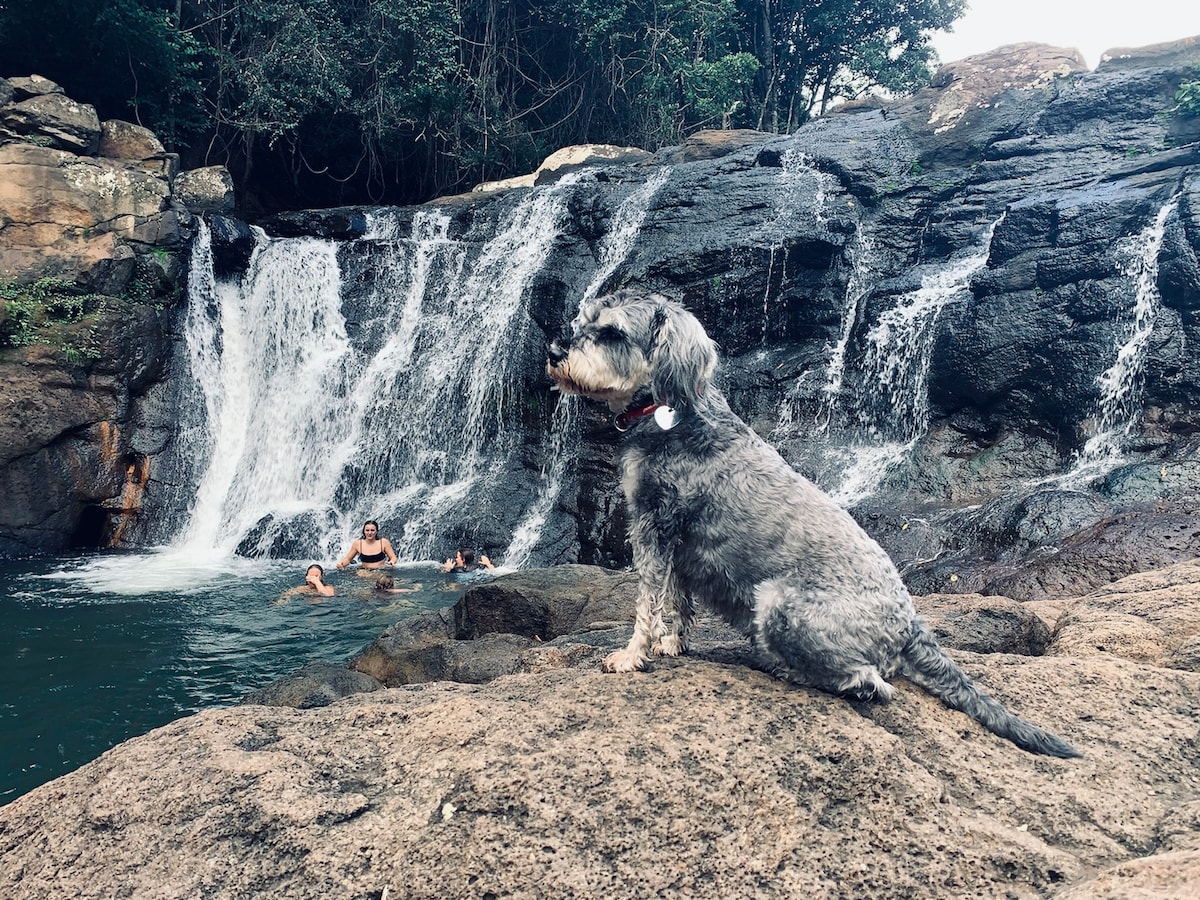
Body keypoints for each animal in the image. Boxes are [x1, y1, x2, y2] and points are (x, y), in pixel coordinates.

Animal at [549, 289, 1084, 763]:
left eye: (613, 332)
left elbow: (647, 601)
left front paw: (631, 655)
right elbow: (677, 602)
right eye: (585, 318)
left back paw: (788, 669)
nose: (555, 351)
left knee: (871, 683)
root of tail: (910, 622)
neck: (671, 412)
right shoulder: (674, 539)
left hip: (777, 603)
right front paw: (673, 644)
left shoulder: (653, 526)